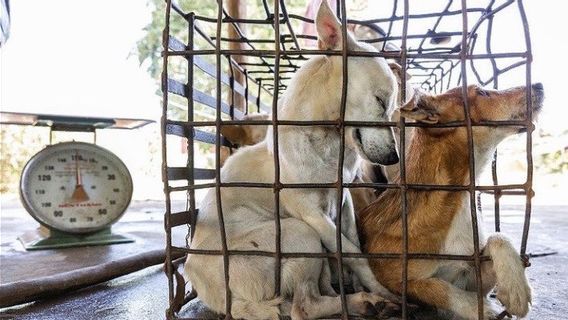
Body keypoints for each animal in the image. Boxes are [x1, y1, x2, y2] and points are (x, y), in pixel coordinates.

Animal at [185, 1, 400, 318]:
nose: (393, 157)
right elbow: (352, 254)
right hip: (300, 232)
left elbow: (354, 246)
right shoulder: (312, 215)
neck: (328, 141)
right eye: (380, 101)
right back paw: (367, 301)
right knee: (304, 307)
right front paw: (380, 289)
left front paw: (364, 284)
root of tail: (229, 301)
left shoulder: (345, 202)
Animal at [362, 84, 544, 318]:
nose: (539, 85)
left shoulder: (472, 276)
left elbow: (498, 237)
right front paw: (481, 308)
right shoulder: (396, 281)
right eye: (482, 93)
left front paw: (516, 288)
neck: (458, 199)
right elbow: (437, 288)